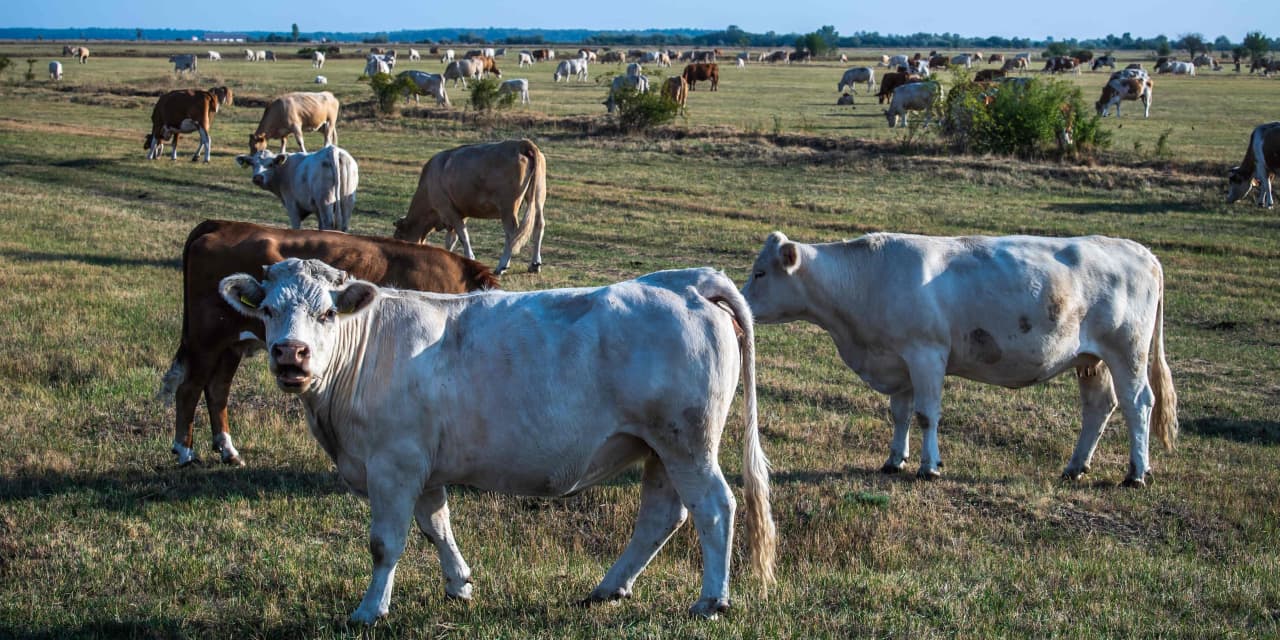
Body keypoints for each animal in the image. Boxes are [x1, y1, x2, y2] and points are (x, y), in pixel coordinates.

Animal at [160, 218, 499, 465]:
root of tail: (222, 224)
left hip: (231, 344)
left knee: (218, 390)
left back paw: (228, 450)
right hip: (206, 341)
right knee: (189, 389)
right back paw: (185, 452)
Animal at [218, 256, 773, 624]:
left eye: (327, 314)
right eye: (267, 310)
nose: (290, 353)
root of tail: (687, 280)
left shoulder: (393, 464)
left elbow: (385, 543)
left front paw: (370, 610)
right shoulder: (424, 465)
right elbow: (436, 525)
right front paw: (458, 585)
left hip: (688, 442)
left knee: (715, 508)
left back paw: (710, 600)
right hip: (660, 447)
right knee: (662, 515)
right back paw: (608, 588)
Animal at [391, 138, 547, 273]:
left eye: (399, 236)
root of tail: (521, 143)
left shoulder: (448, 209)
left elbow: (462, 235)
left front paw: (470, 257)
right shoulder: (459, 213)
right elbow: (451, 239)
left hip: (508, 207)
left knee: (512, 233)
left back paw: (502, 266)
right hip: (538, 197)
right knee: (538, 225)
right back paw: (535, 264)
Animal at [742, 230, 1177, 483]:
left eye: (761, 273)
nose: (740, 305)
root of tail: (1140, 251)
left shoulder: (927, 353)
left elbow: (926, 414)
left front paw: (929, 466)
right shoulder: (897, 359)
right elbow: (900, 413)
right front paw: (893, 460)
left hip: (1127, 351)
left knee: (1139, 404)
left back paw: (1137, 472)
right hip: (1090, 359)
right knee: (1099, 407)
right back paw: (1075, 466)